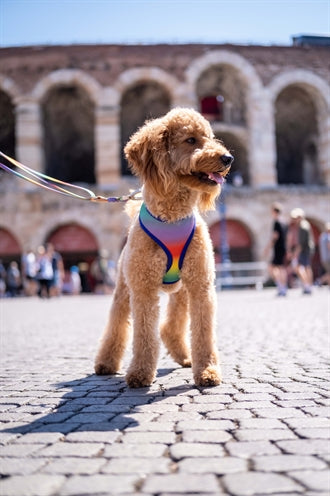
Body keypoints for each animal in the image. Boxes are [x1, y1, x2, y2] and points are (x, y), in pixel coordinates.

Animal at [94, 107, 233, 388]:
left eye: (211, 137)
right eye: (190, 140)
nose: (228, 158)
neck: (172, 215)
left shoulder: (201, 285)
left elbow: (203, 332)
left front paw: (208, 371)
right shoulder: (143, 289)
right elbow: (144, 334)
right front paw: (139, 373)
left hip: (182, 290)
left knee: (171, 327)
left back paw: (185, 356)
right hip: (124, 289)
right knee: (117, 324)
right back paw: (106, 362)